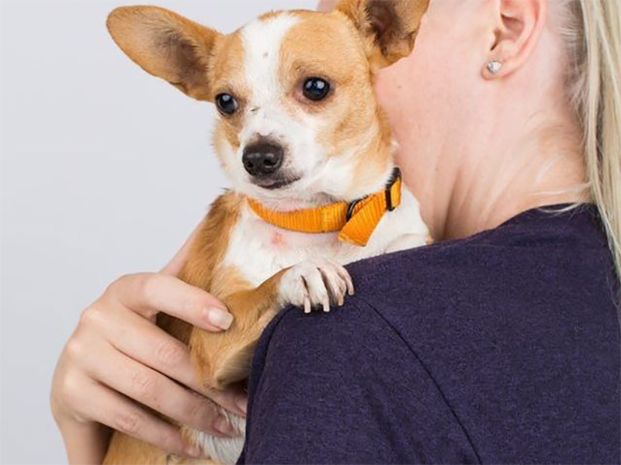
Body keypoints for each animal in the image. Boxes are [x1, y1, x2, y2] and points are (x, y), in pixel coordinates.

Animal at [104, 1, 428, 462]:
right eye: (225, 101)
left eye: (316, 87)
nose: (257, 156)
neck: (317, 218)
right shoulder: (213, 347)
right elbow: (260, 291)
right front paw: (302, 274)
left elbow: (406, 240)